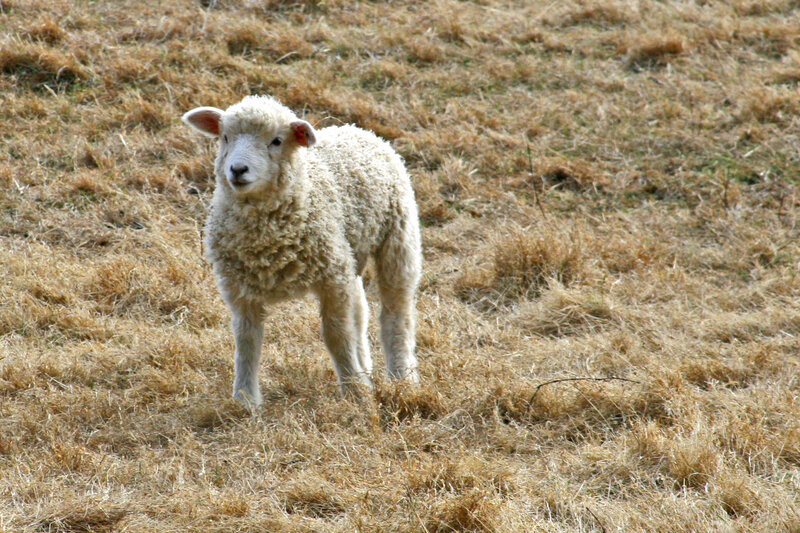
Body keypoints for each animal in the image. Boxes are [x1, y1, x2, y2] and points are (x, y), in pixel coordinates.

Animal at [182, 95, 422, 406]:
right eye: (225, 137)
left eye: (276, 141)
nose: (237, 170)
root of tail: (357, 130)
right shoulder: (239, 288)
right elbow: (247, 341)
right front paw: (245, 399)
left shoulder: (331, 279)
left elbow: (335, 334)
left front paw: (355, 391)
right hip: (346, 254)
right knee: (360, 308)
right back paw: (365, 366)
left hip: (398, 237)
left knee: (396, 312)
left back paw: (401, 376)